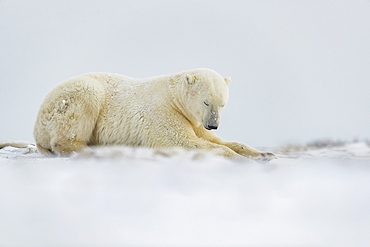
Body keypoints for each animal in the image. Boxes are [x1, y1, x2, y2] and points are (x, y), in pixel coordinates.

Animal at [34, 68, 274, 160]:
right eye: (206, 101)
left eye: (223, 104)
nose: (213, 124)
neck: (174, 97)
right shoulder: (164, 112)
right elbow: (180, 141)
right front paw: (239, 158)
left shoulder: (195, 122)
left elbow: (215, 139)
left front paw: (264, 154)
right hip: (71, 99)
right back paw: (93, 149)